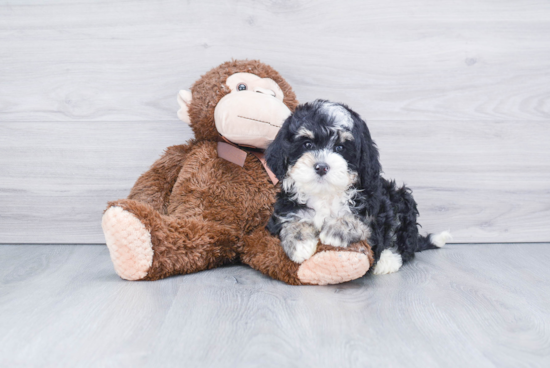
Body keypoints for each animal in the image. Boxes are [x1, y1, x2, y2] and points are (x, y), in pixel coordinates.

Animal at [268, 99, 452, 274]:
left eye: (340, 147)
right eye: (307, 144)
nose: (321, 167)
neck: (325, 194)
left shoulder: (373, 217)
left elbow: (358, 221)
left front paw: (336, 231)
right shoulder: (284, 210)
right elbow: (291, 221)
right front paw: (300, 243)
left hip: (402, 199)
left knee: (405, 245)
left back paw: (388, 261)